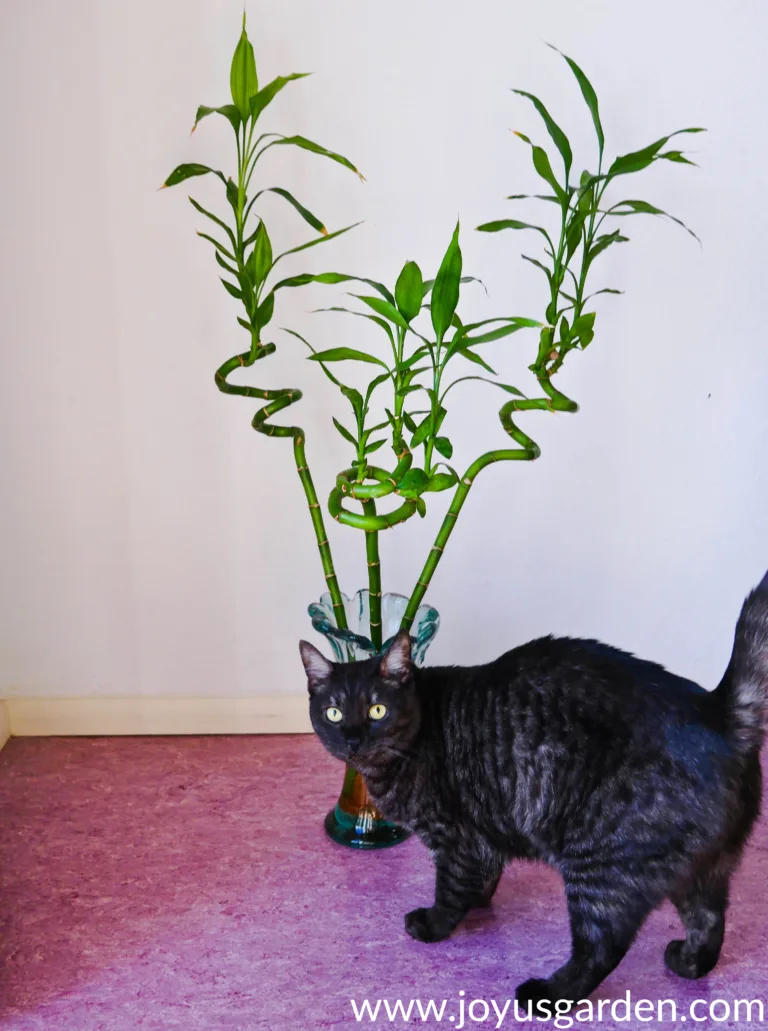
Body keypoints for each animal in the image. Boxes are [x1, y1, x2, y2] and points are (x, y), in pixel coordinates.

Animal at [298, 569, 766, 1002]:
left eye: (377, 709)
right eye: (334, 712)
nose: (353, 739)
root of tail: (720, 713)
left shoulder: (453, 835)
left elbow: (451, 886)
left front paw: (435, 924)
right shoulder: (482, 832)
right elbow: (484, 873)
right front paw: (479, 902)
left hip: (599, 865)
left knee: (602, 948)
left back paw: (548, 994)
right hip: (703, 867)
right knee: (709, 921)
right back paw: (688, 962)